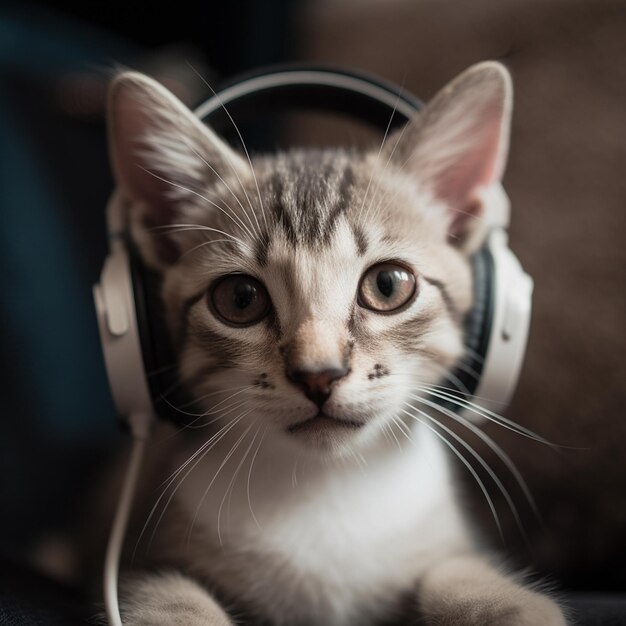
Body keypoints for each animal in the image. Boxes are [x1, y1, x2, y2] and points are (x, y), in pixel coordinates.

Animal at [98, 61, 564, 620]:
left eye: (388, 285)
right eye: (239, 298)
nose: (318, 374)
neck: (325, 484)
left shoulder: (448, 544)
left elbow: (458, 572)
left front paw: (510, 607)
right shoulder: (142, 562)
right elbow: (167, 599)